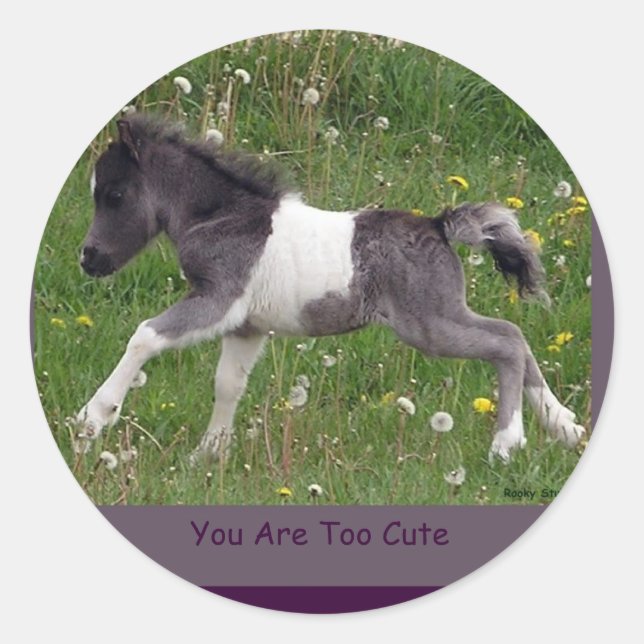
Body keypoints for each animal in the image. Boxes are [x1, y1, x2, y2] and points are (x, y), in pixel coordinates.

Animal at [75, 115, 585, 464]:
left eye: (114, 195)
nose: (88, 258)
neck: (223, 217)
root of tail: (440, 225)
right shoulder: (246, 325)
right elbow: (228, 384)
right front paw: (208, 454)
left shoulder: (219, 298)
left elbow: (145, 335)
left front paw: (93, 419)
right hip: (440, 318)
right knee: (515, 336)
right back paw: (564, 427)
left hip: (429, 325)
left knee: (507, 341)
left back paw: (507, 441)